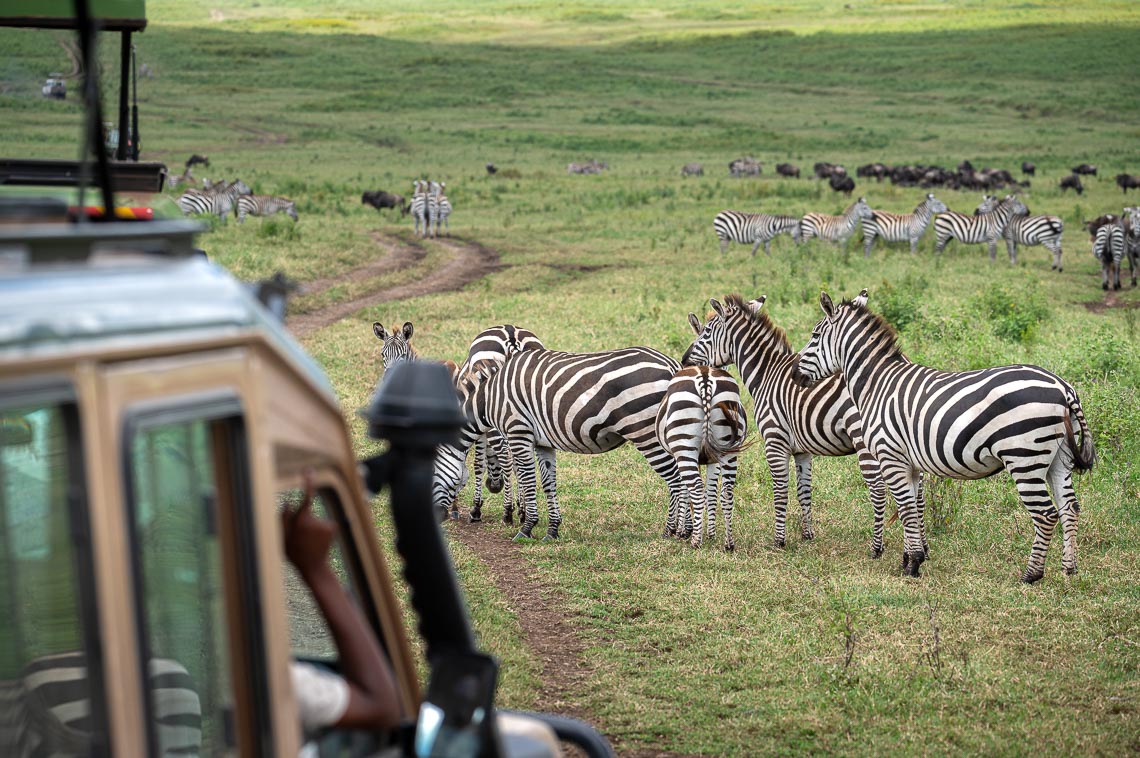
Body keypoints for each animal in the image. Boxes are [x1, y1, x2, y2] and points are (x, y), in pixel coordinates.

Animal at [433, 346, 684, 540]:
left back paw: (674, 531)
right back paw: (682, 531)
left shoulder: (518, 431)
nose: (438, 517)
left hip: (645, 432)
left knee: (676, 479)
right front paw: (552, 530)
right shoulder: (543, 443)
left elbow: (527, 479)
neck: (490, 398)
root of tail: (671, 364)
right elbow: (548, 483)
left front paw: (526, 528)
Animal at [674, 294, 889, 549]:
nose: (685, 361)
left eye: (706, 331)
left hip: (866, 442)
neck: (766, 374)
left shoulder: (774, 441)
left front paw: (779, 540)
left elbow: (780, 491)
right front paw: (807, 535)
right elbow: (804, 492)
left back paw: (877, 547)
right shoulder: (802, 450)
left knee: (879, 489)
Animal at [793, 288, 1094, 579]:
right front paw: (909, 559)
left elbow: (905, 508)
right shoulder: (910, 463)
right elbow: (912, 507)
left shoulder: (890, 455)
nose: (795, 374)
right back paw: (1069, 569)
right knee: (1070, 508)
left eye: (814, 335)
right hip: (1058, 458)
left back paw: (1032, 574)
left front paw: (913, 564)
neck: (877, 384)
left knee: (1046, 514)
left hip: (1025, 457)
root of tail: (1063, 387)